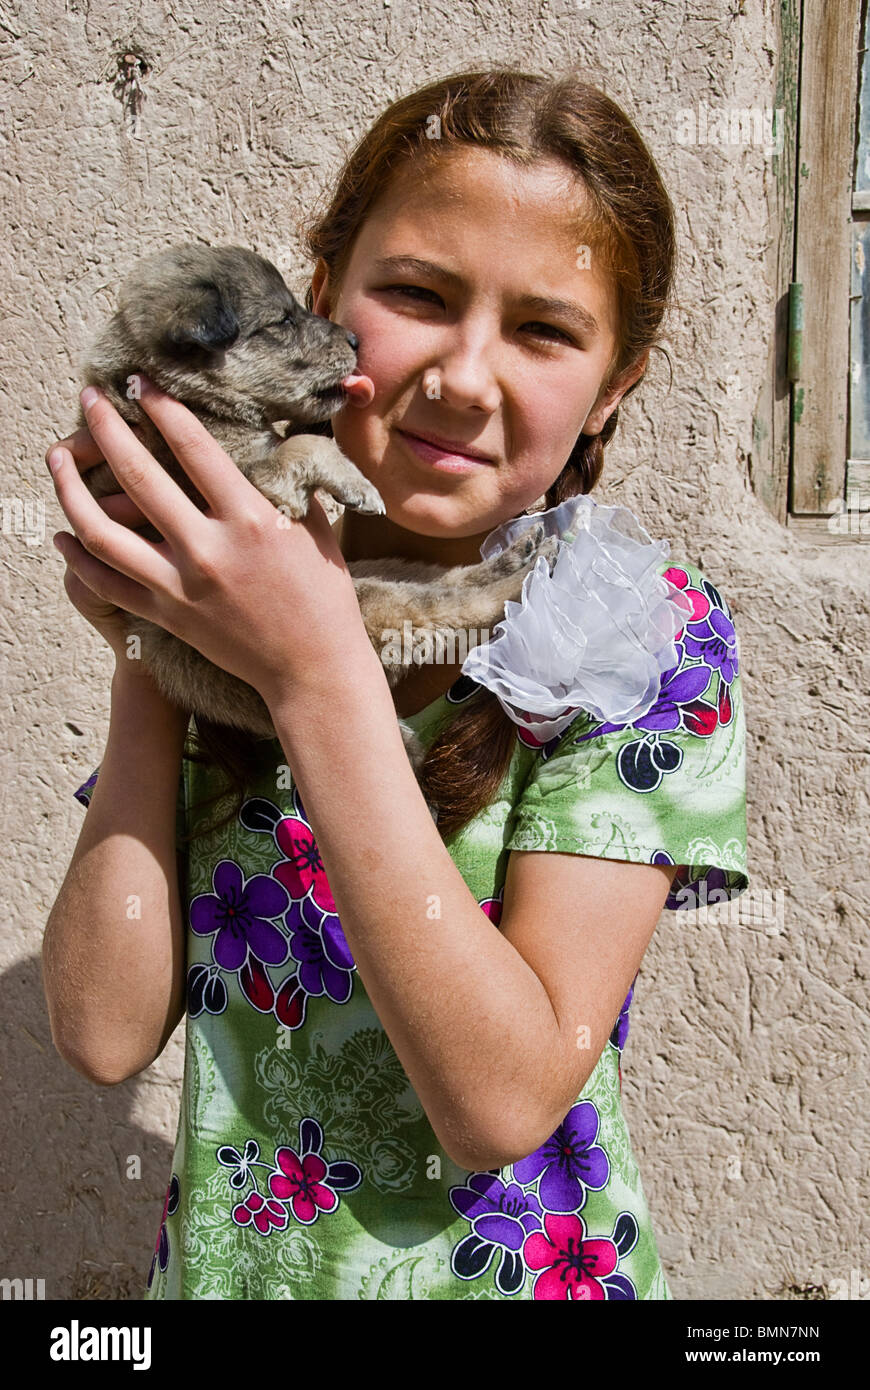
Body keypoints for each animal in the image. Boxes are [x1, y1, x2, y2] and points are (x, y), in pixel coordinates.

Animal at [77, 241, 558, 761]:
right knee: (451, 607)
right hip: (373, 603)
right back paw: (527, 573)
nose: (355, 339)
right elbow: (303, 445)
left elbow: (301, 439)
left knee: (447, 581)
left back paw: (522, 553)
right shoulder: (247, 479)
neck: (182, 395)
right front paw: (357, 483)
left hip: (376, 573)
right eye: (283, 320)